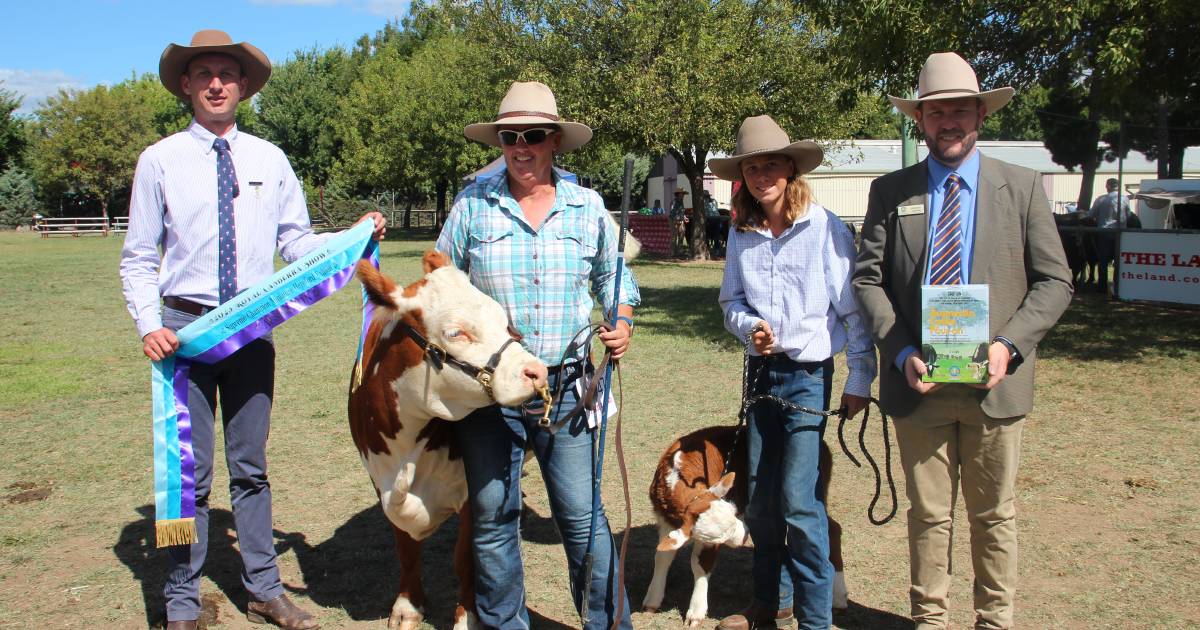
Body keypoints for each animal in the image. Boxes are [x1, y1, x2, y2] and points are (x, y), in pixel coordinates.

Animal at [643, 424, 849, 624]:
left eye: (734, 512)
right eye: (720, 536)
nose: (744, 536)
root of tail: (823, 446)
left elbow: (701, 564)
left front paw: (696, 612)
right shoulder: (667, 522)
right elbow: (662, 556)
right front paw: (652, 599)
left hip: (814, 492)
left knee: (831, 529)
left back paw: (838, 598)